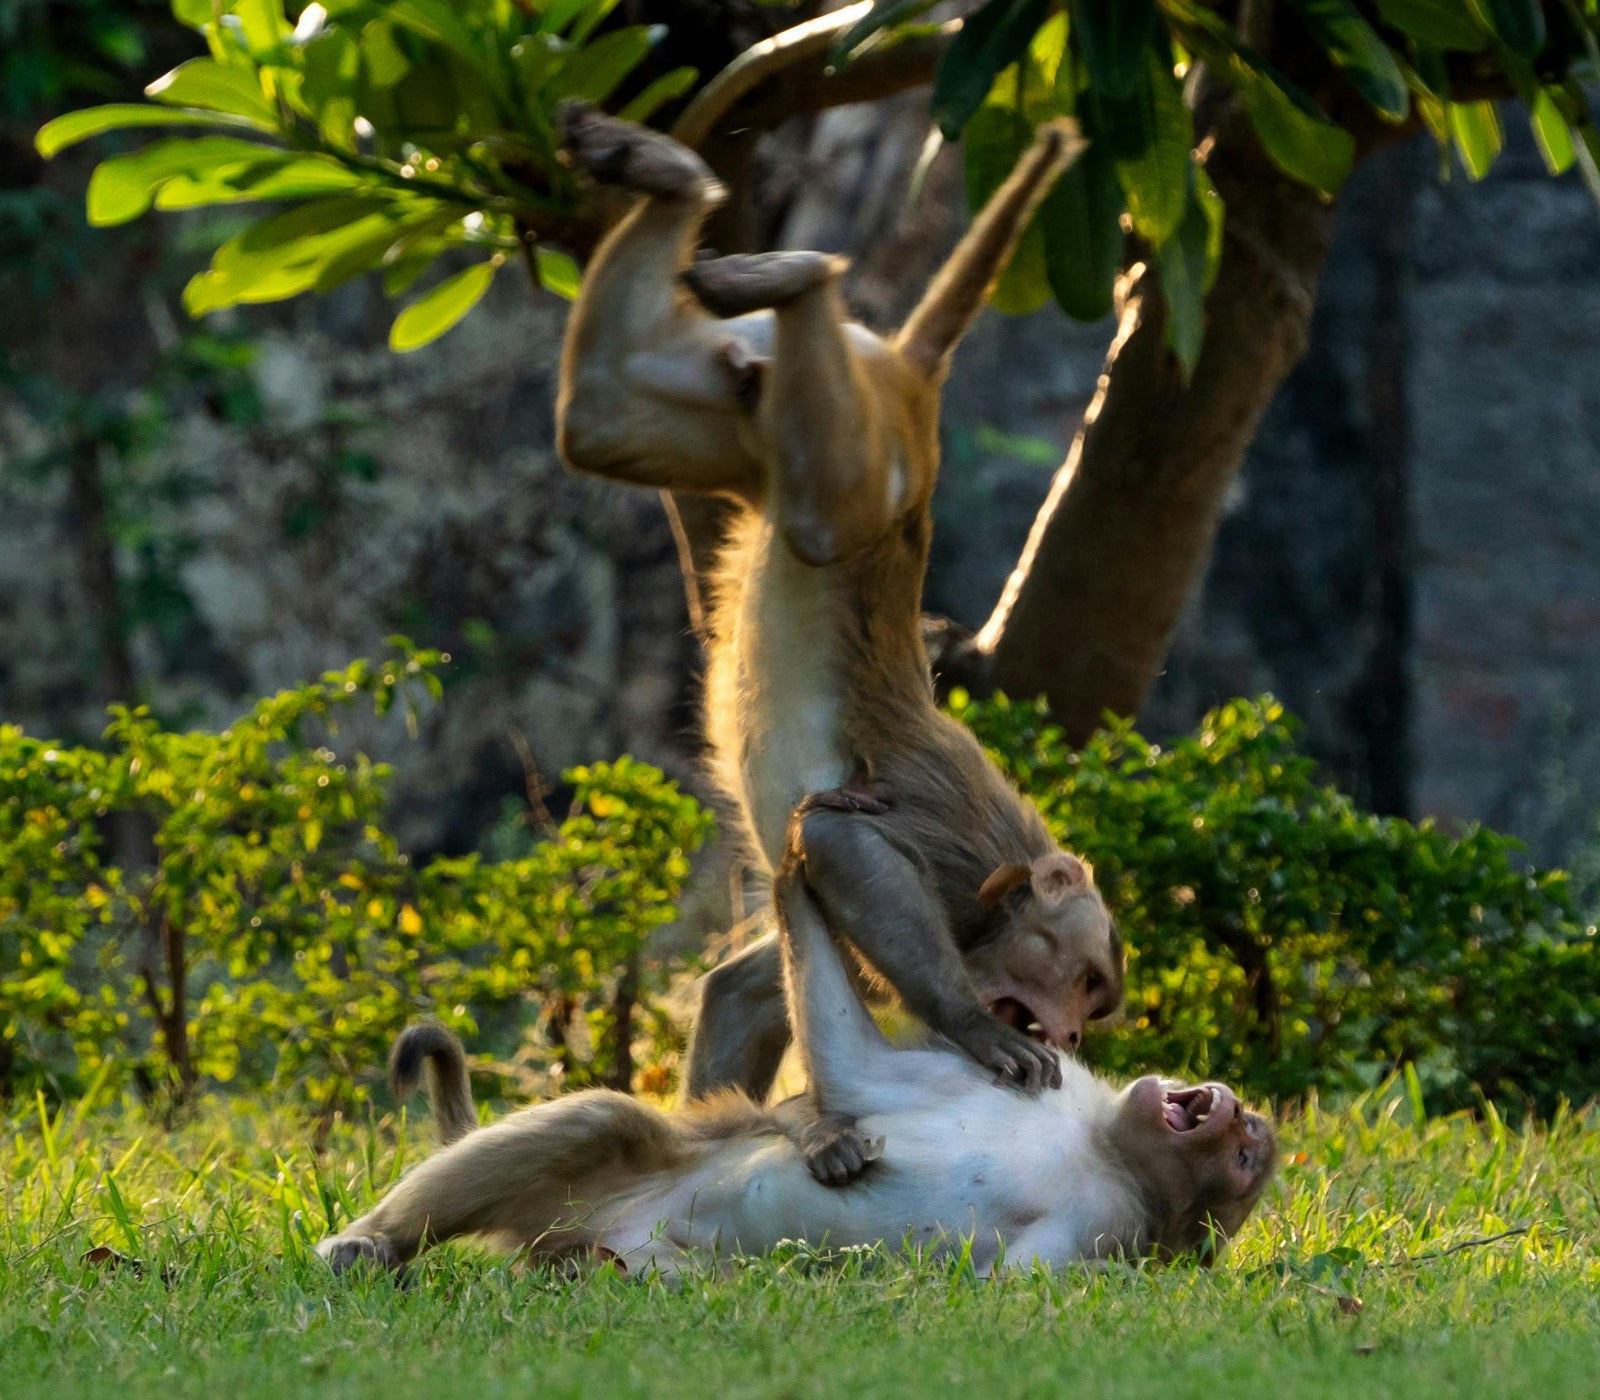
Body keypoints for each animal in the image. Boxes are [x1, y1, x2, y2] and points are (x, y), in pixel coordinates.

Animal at [316, 830, 1276, 1280]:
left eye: (1243, 1156)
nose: (1231, 1104)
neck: (1101, 1144)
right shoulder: (1045, 1078)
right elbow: (858, 1071)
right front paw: (800, 858)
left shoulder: (1107, 1229)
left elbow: (1007, 1284)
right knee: (598, 1127)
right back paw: (378, 1242)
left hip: (618, 1244)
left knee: (619, 1201)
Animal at [553, 104, 1124, 1181]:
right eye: (1085, 979)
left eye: (1092, 1006)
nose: (1070, 1035)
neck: (997, 907)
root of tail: (908, 383)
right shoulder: (965, 855)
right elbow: (837, 835)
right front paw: (967, 1027)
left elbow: (742, 986)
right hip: (874, 463)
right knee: (821, 517)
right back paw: (798, 273)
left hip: (760, 430)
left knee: (599, 418)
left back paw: (669, 178)